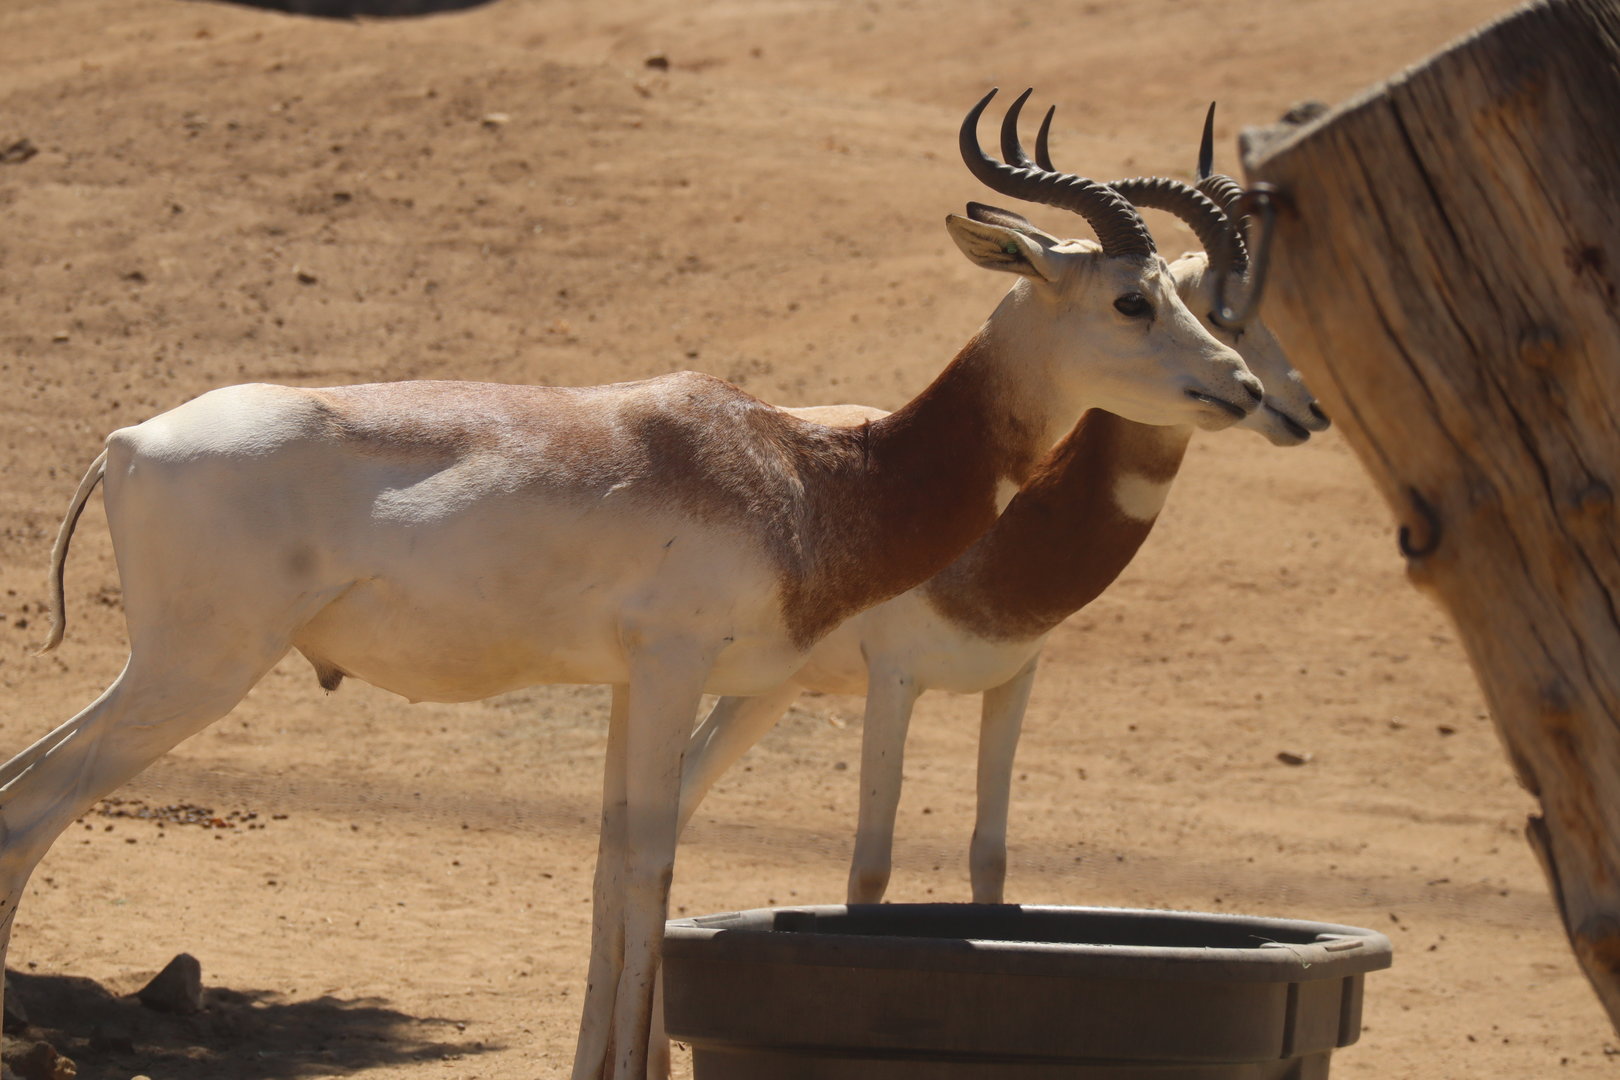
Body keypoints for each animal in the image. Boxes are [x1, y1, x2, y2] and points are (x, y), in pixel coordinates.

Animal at [14, 91, 1255, 1080]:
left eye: (1193, 299)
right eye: (1134, 301)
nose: (1244, 388)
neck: (808, 474)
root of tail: (126, 441)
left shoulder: (626, 685)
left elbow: (615, 867)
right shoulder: (672, 671)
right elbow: (655, 867)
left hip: (173, 669)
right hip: (199, 669)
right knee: (32, 805)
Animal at [675, 96, 1327, 908]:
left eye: (1187, 303)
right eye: (1135, 301)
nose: (1257, 391)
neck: (1002, 533)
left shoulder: (1014, 683)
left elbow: (990, 856)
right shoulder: (895, 683)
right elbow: (870, 868)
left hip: (765, 689)